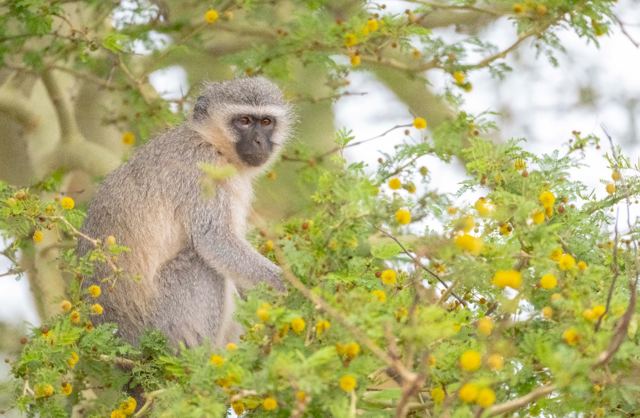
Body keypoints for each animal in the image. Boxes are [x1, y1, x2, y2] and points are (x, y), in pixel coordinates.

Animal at [77, 77, 293, 348]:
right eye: (243, 121)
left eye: (266, 122)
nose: (258, 142)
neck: (212, 142)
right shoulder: (204, 170)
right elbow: (215, 241)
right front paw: (291, 286)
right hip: (165, 319)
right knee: (202, 265)